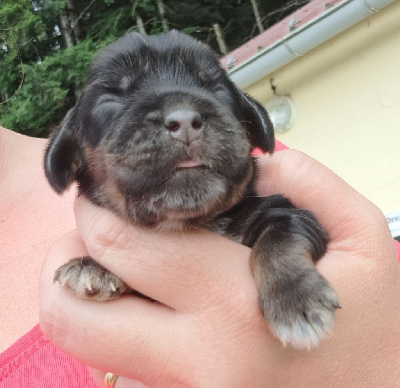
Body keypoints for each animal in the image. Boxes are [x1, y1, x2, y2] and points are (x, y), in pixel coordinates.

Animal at [45, 31, 340, 348]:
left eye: (217, 90)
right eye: (111, 99)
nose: (184, 119)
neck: (186, 222)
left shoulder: (286, 212)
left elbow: (281, 237)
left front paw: (296, 299)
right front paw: (94, 266)